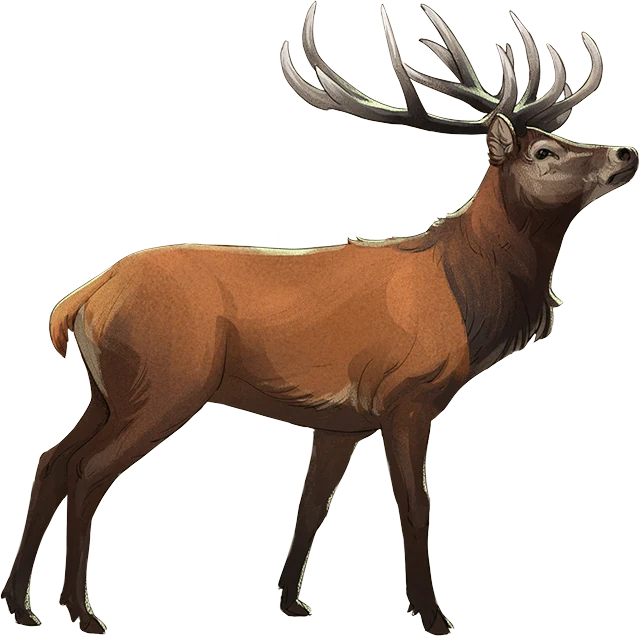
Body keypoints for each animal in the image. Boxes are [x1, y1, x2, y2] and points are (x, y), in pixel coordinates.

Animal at [1, 2, 636, 634]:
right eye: (544, 152)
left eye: (560, 136)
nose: (625, 153)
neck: (465, 298)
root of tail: (83, 298)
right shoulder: (406, 397)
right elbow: (416, 509)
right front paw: (433, 615)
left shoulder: (341, 420)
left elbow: (311, 507)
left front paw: (290, 599)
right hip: (167, 383)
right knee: (87, 471)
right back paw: (81, 609)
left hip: (107, 388)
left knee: (50, 462)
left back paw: (22, 605)